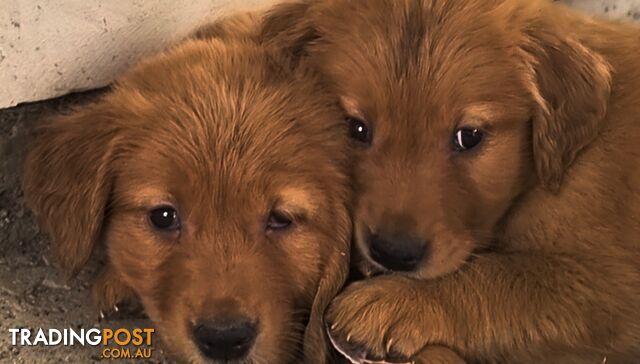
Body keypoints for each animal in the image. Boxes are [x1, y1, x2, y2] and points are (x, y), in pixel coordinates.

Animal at [262, 0, 640, 362]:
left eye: (469, 136)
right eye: (355, 127)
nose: (393, 253)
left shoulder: (612, 283)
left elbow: (506, 277)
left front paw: (395, 300)